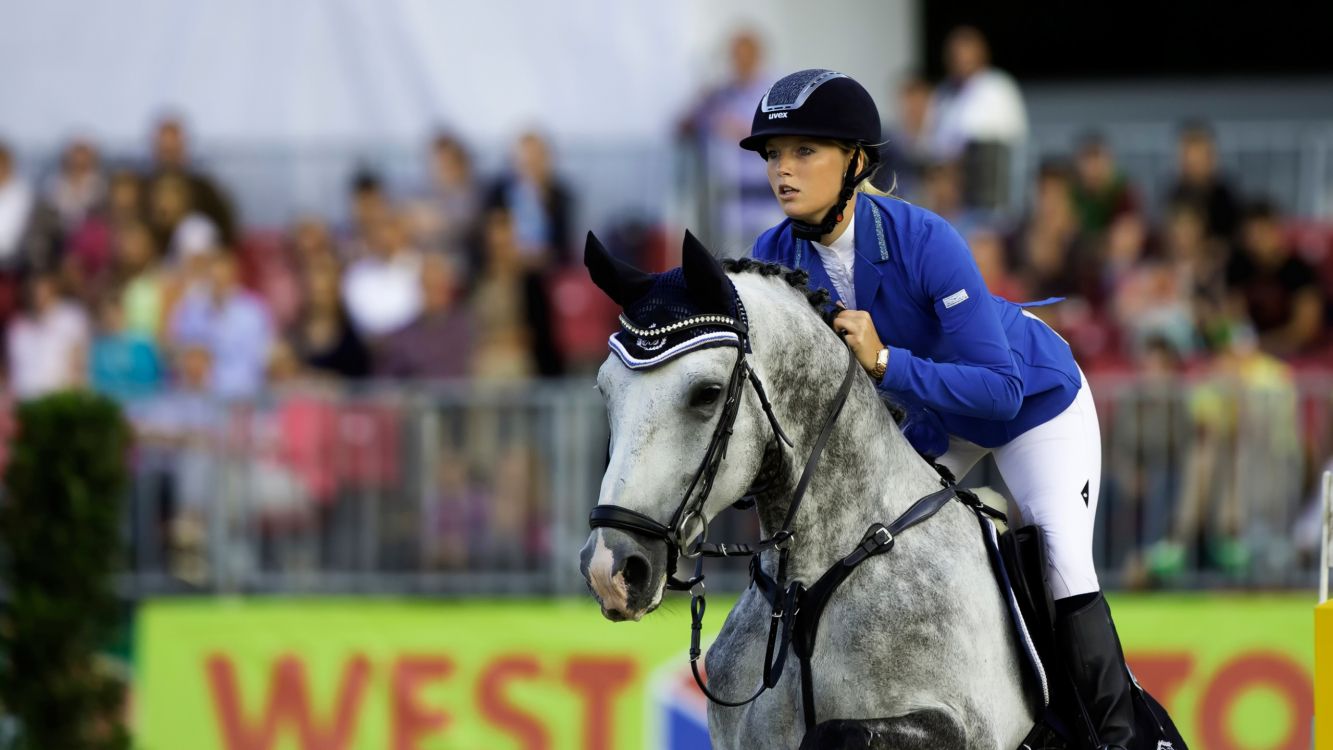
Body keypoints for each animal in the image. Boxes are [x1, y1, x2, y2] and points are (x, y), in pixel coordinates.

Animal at [578, 243, 1034, 746]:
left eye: (707, 393)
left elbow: (835, 732)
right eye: (605, 389)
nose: (610, 569)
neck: (807, 584)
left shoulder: (965, 728)